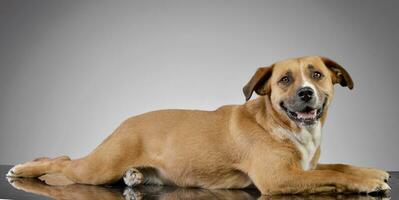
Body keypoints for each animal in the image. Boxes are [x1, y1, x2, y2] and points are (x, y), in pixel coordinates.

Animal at [6, 56, 392, 195]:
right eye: (285, 79)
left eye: (317, 74)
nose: (306, 93)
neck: (281, 123)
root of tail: (126, 122)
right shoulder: (280, 178)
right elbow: (334, 174)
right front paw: (368, 182)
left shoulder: (305, 165)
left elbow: (338, 165)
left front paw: (371, 171)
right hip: (97, 169)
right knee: (63, 162)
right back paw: (26, 169)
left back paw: (134, 176)